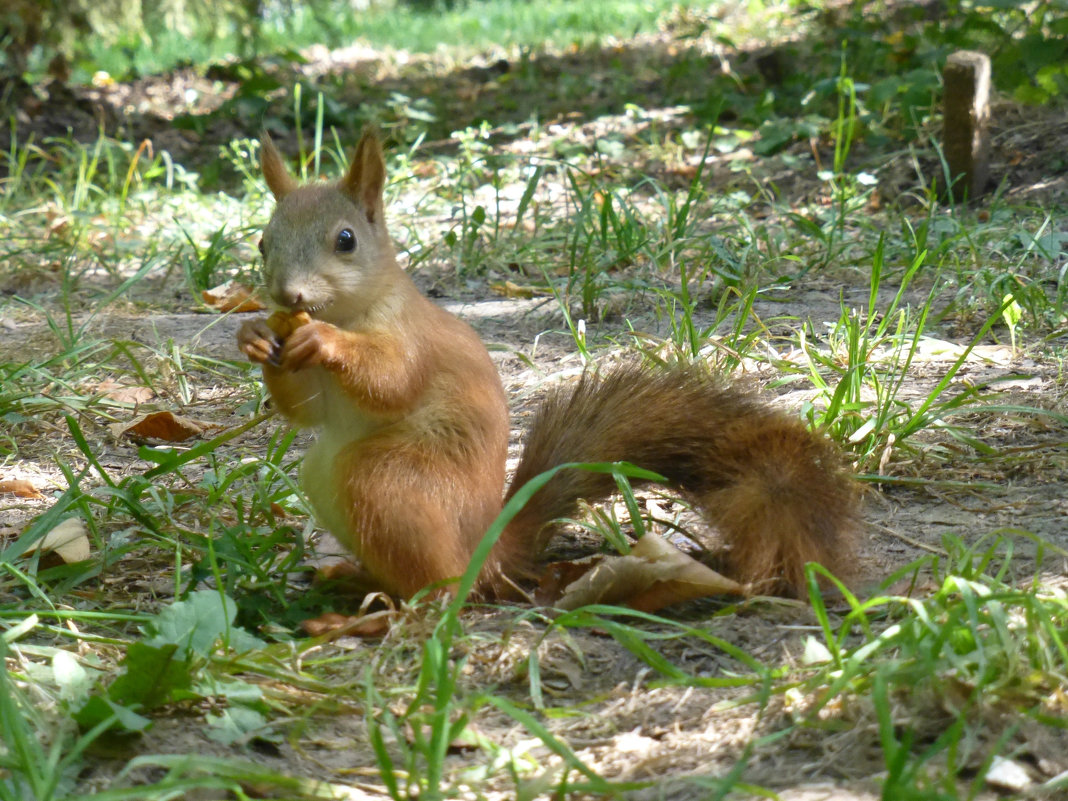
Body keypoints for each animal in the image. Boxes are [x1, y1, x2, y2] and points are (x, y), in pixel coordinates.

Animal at [236, 130, 858, 602]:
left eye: (346, 240)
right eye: (263, 243)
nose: (288, 296)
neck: (350, 311)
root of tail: (485, 554)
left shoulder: (412, 340)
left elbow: (392, 381)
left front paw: (324, 340)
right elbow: (304, 409)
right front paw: (254, 336)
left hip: (386, 483)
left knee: (441, 593)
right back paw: (352, 579)